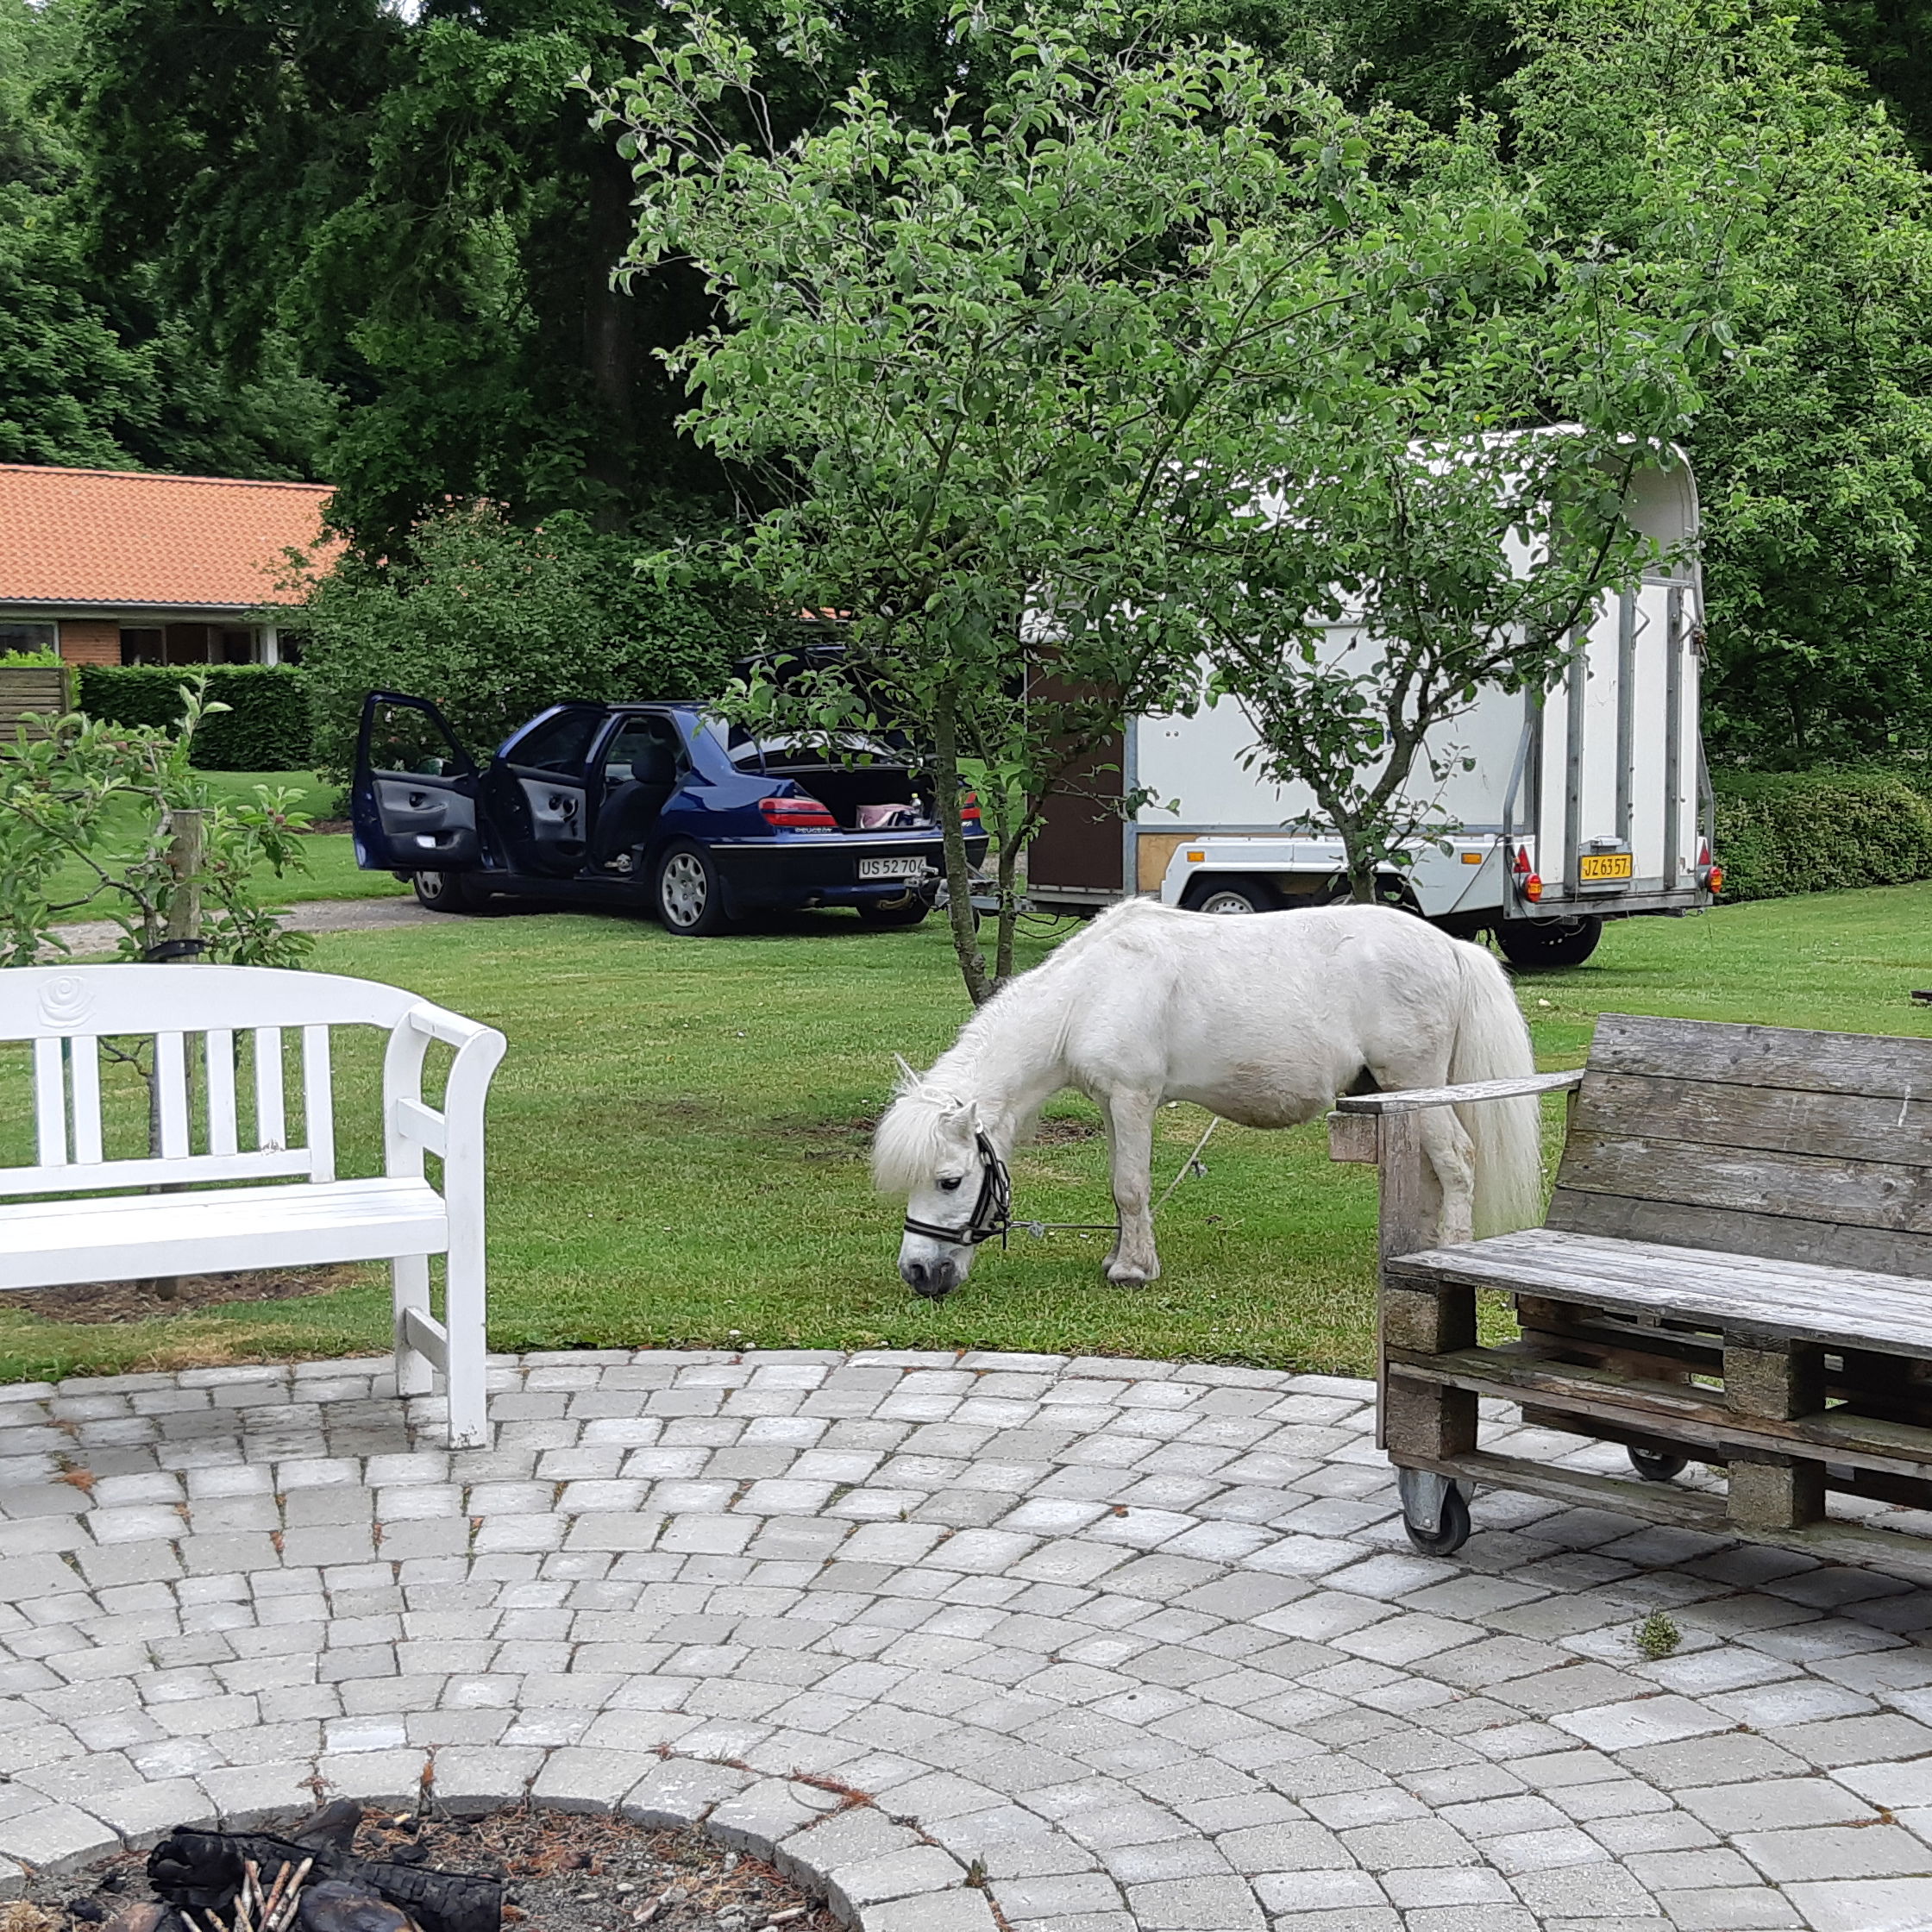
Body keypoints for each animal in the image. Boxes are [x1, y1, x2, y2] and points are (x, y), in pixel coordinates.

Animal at [874, 897, 1543, 1299]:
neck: (1088, 994)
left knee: (1457, 1162)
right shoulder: (1114, 1105)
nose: (918, 1273)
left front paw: (1133, 1271)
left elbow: (1131, 1187)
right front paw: (1121, 1256)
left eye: (950, 1181)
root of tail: (1453, 947)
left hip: (1414, 1082)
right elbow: (1120, 1189)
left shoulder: (1133, 1098)